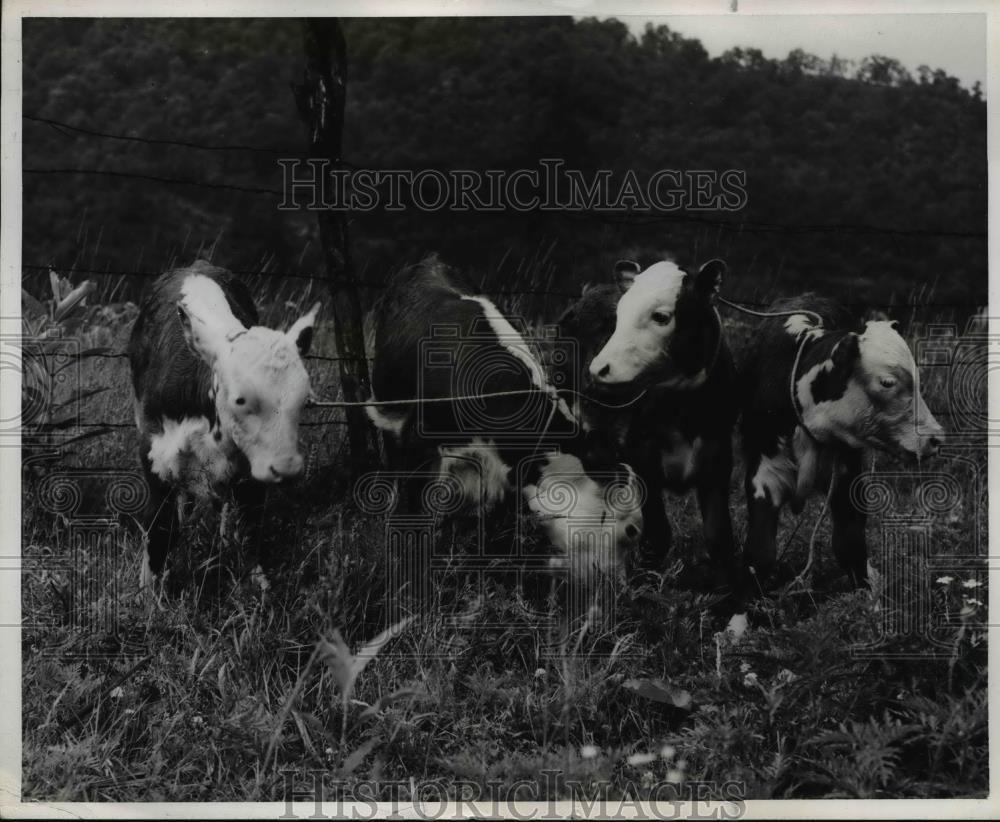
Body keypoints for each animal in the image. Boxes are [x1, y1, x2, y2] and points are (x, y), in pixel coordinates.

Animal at [127, 260, 318, 588]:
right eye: (240, 399)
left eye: (303, 400)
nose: (287, 468)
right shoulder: (155, 456)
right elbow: (160, 531)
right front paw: (149, 590)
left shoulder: (251, 472)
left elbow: (251, 528)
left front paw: (260, 587)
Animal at [744, 294, 944, 584]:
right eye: (887, 382)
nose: (934, 438)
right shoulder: (764, 472)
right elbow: (759, 553)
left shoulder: (847, 475)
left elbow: (850, 542)